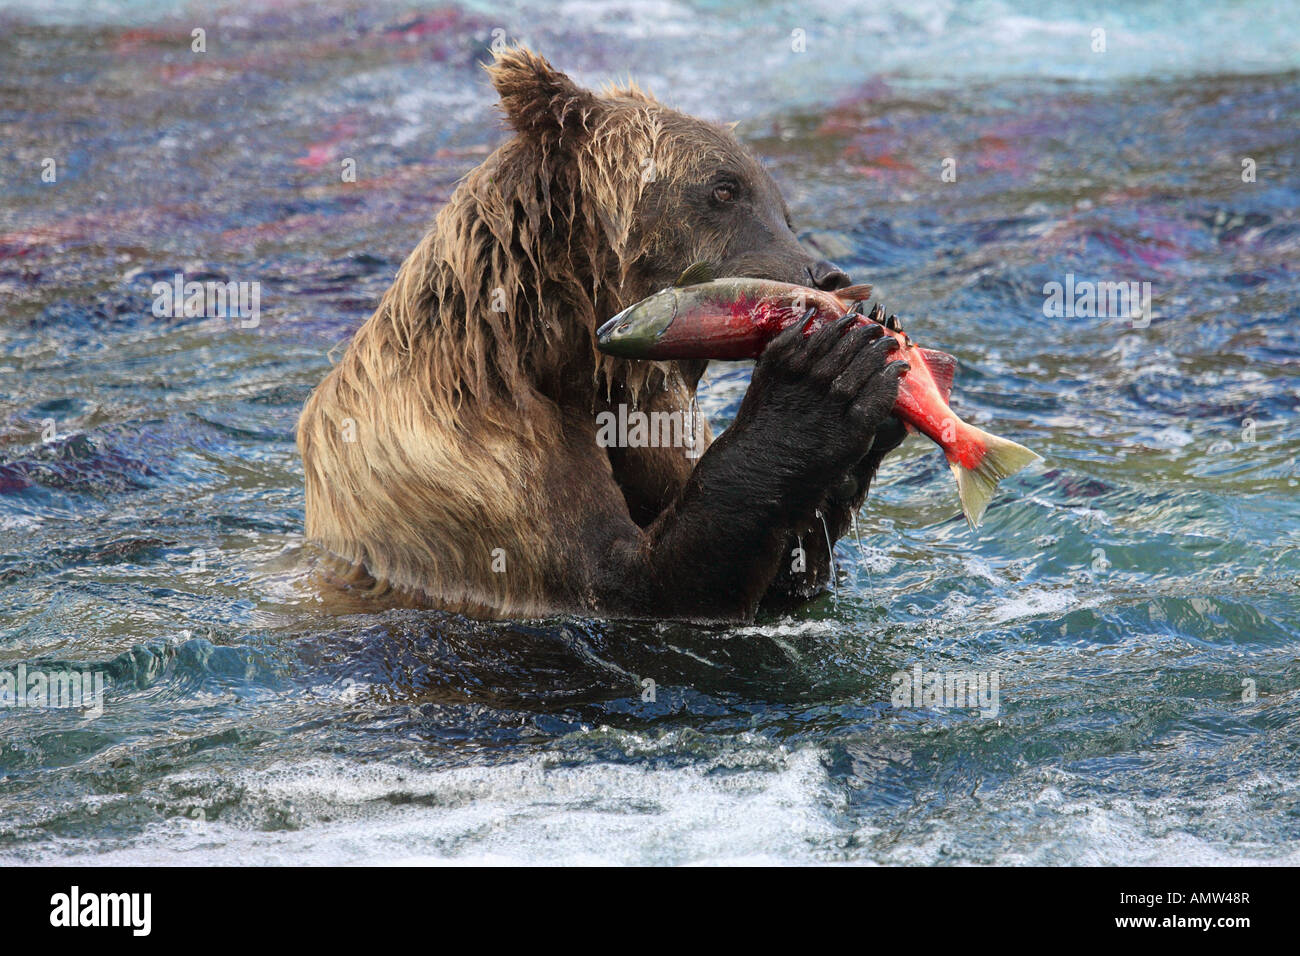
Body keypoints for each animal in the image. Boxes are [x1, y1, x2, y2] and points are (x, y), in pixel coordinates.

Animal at [296, 47, 908, 622]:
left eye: (783, 209)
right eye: (724, 189)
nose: (828, 275)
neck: (559, 356)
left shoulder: (650, 418)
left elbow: (779, 560)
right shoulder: (473, 467)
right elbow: (627, 582)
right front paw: (822, 375)